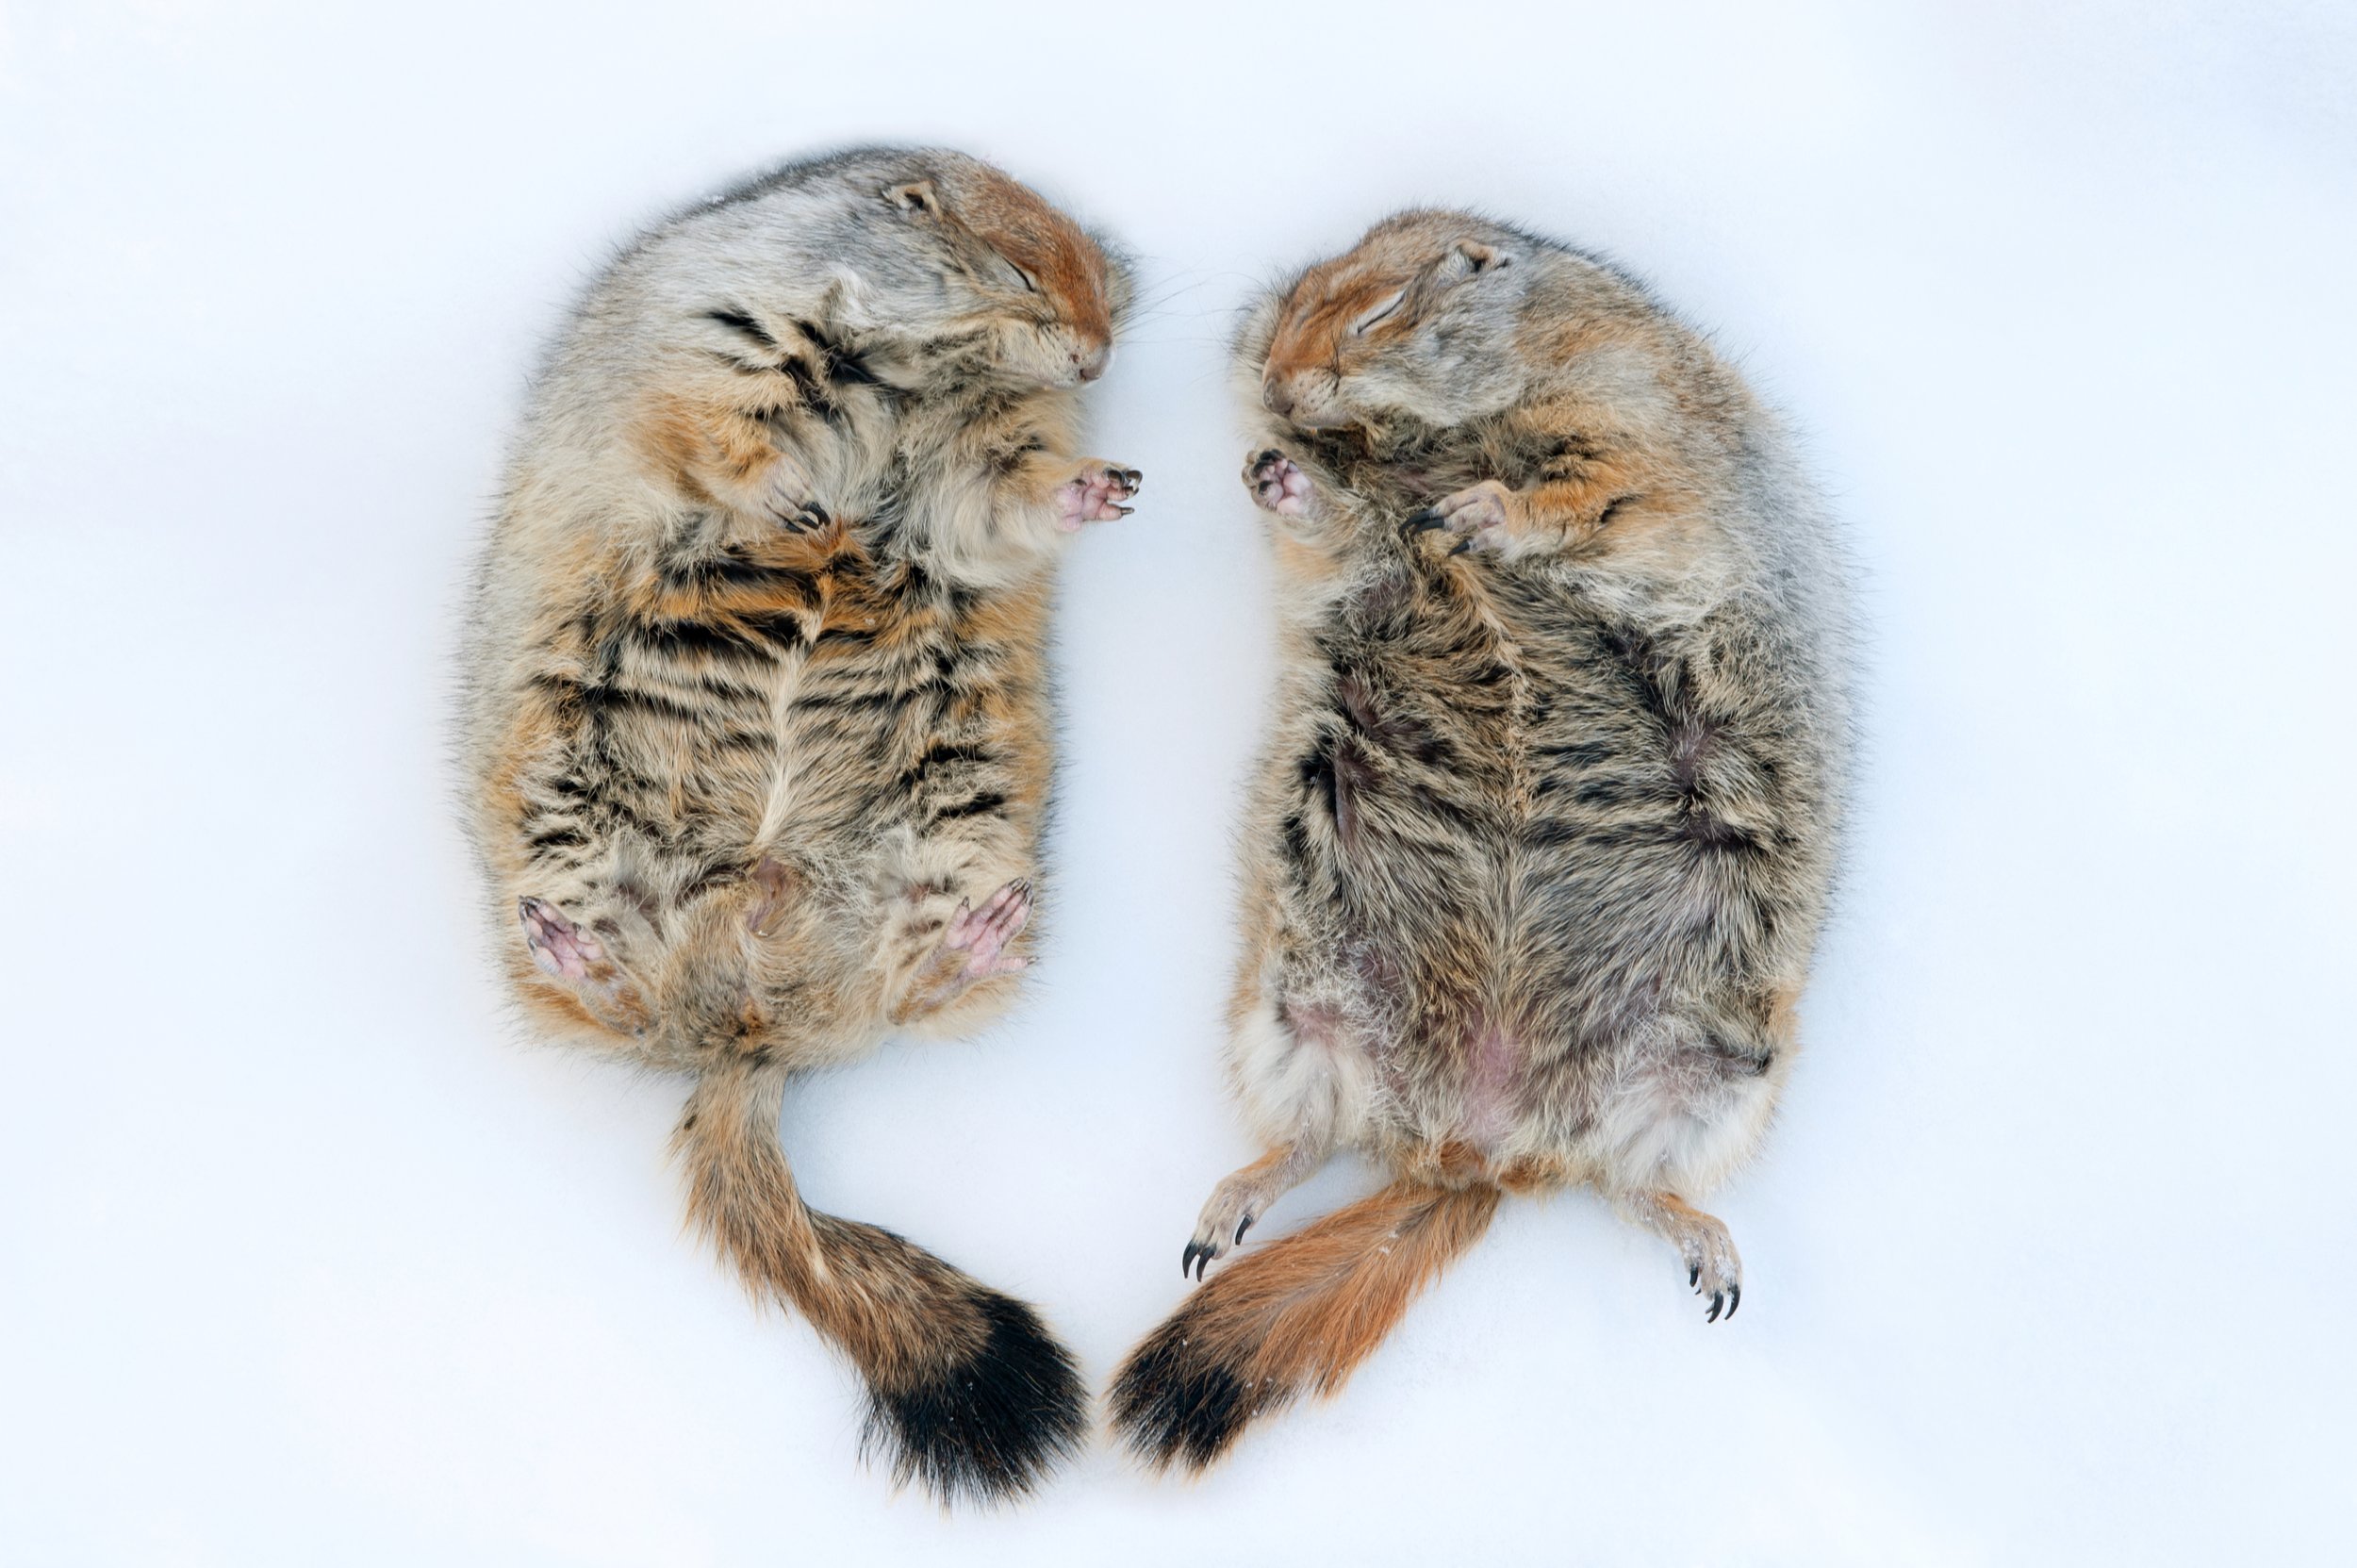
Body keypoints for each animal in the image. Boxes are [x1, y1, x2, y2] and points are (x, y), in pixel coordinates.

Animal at [456, 147, 1141, 1505]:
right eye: (1021, 263)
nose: (1096, 362)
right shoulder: (714, 329)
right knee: (616, 1003)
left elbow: (994, 499)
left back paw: (978, 933)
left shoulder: (985, 439)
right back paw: (576, 945)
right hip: (552, 802)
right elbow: (711, 430)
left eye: (1112, 284)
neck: (904, 370)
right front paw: (796, 501)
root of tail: (753, 1032)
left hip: (968, 806)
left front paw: (1103, 485)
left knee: (906, 990)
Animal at [1109, 209, 1853, 1473]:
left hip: (1722, 1066)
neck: (1428, 440)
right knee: (1316, 1136)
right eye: (1286, 301)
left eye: (1375, 311)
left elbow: (1603, 487)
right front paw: (1279, 473)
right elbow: (1337, 529)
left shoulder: (1632, 414)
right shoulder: (1362, 535)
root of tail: (1478, 1145)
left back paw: (1703, 1241)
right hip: (1294, 1001)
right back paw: (1231, 1201)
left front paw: (1477, 515)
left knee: (1623, 1184)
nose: (1273, 381)